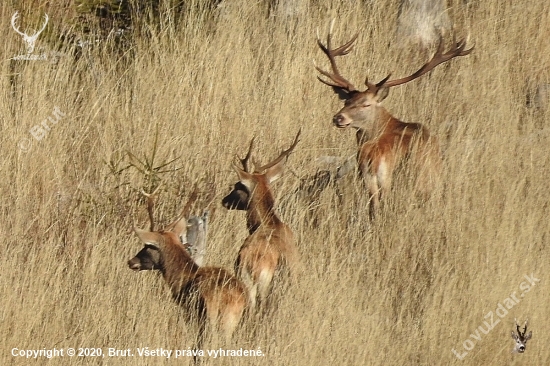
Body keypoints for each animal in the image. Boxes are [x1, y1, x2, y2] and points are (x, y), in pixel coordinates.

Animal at [316, 21, 476, 216]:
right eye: (347, 101)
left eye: (365, 104)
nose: (338, 118)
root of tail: (374, 156)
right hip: (406, 178)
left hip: (369, 180)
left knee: (374, 208)